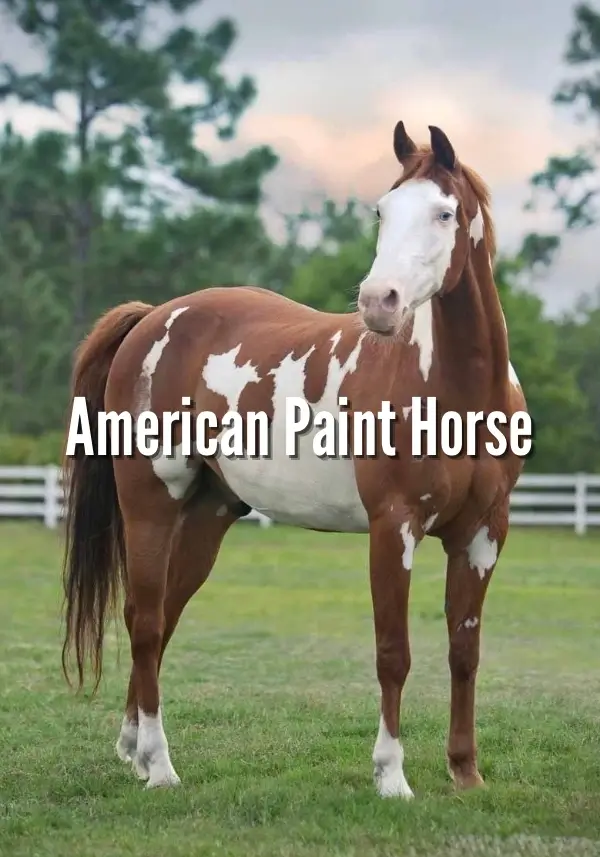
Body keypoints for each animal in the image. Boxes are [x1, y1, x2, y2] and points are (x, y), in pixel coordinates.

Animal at [61, 122, 528, 798]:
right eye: (383, 211)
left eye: (444, 213)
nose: (379, 302)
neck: (458, 390)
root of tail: (153, 320)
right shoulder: (394, 527)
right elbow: (394, 652)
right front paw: (391, 776)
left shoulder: (483, 534)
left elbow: (464, 652)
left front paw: (466, 774)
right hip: (151, 505)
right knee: (144, 619)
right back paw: (161, 766)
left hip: (207, 515)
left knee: (164, 617)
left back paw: (135, 750)